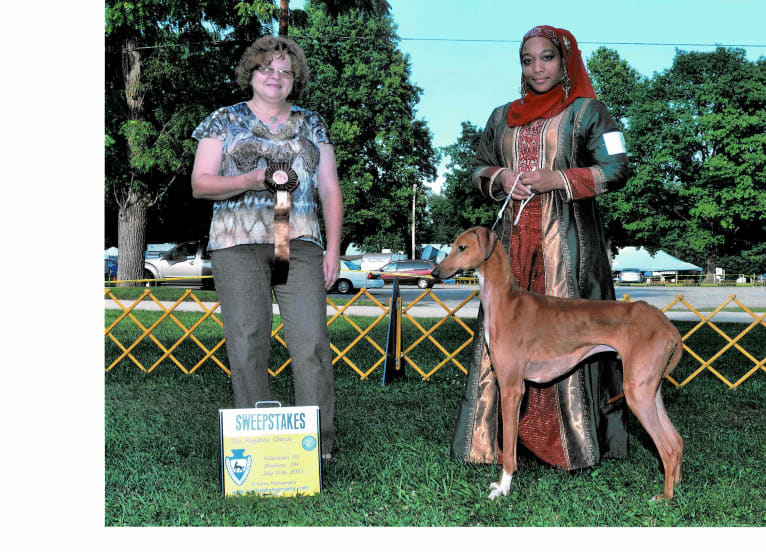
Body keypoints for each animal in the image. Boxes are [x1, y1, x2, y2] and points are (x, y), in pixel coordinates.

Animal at [436, 225, 688, 500]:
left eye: (462, 247)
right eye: (452, 246)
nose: (435, 273)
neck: (505, 300)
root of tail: (666, 325)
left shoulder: (512, 388)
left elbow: (510, 447)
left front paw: (504, 487)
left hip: (637, 394)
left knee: (667, 447)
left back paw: (664, 498)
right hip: (650, 391)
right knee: (676, 441)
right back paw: (676, 487)